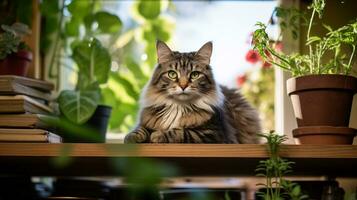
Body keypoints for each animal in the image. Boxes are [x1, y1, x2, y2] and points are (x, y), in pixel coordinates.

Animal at [124, 40, 260, 144]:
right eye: (172, 74)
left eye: (195, 75)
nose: (183, 86)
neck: (178, 106)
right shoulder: (145, 122)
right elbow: (140, 130)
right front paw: (131, 137)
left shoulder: (213, 134)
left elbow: (181, 132)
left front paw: (158, 135)